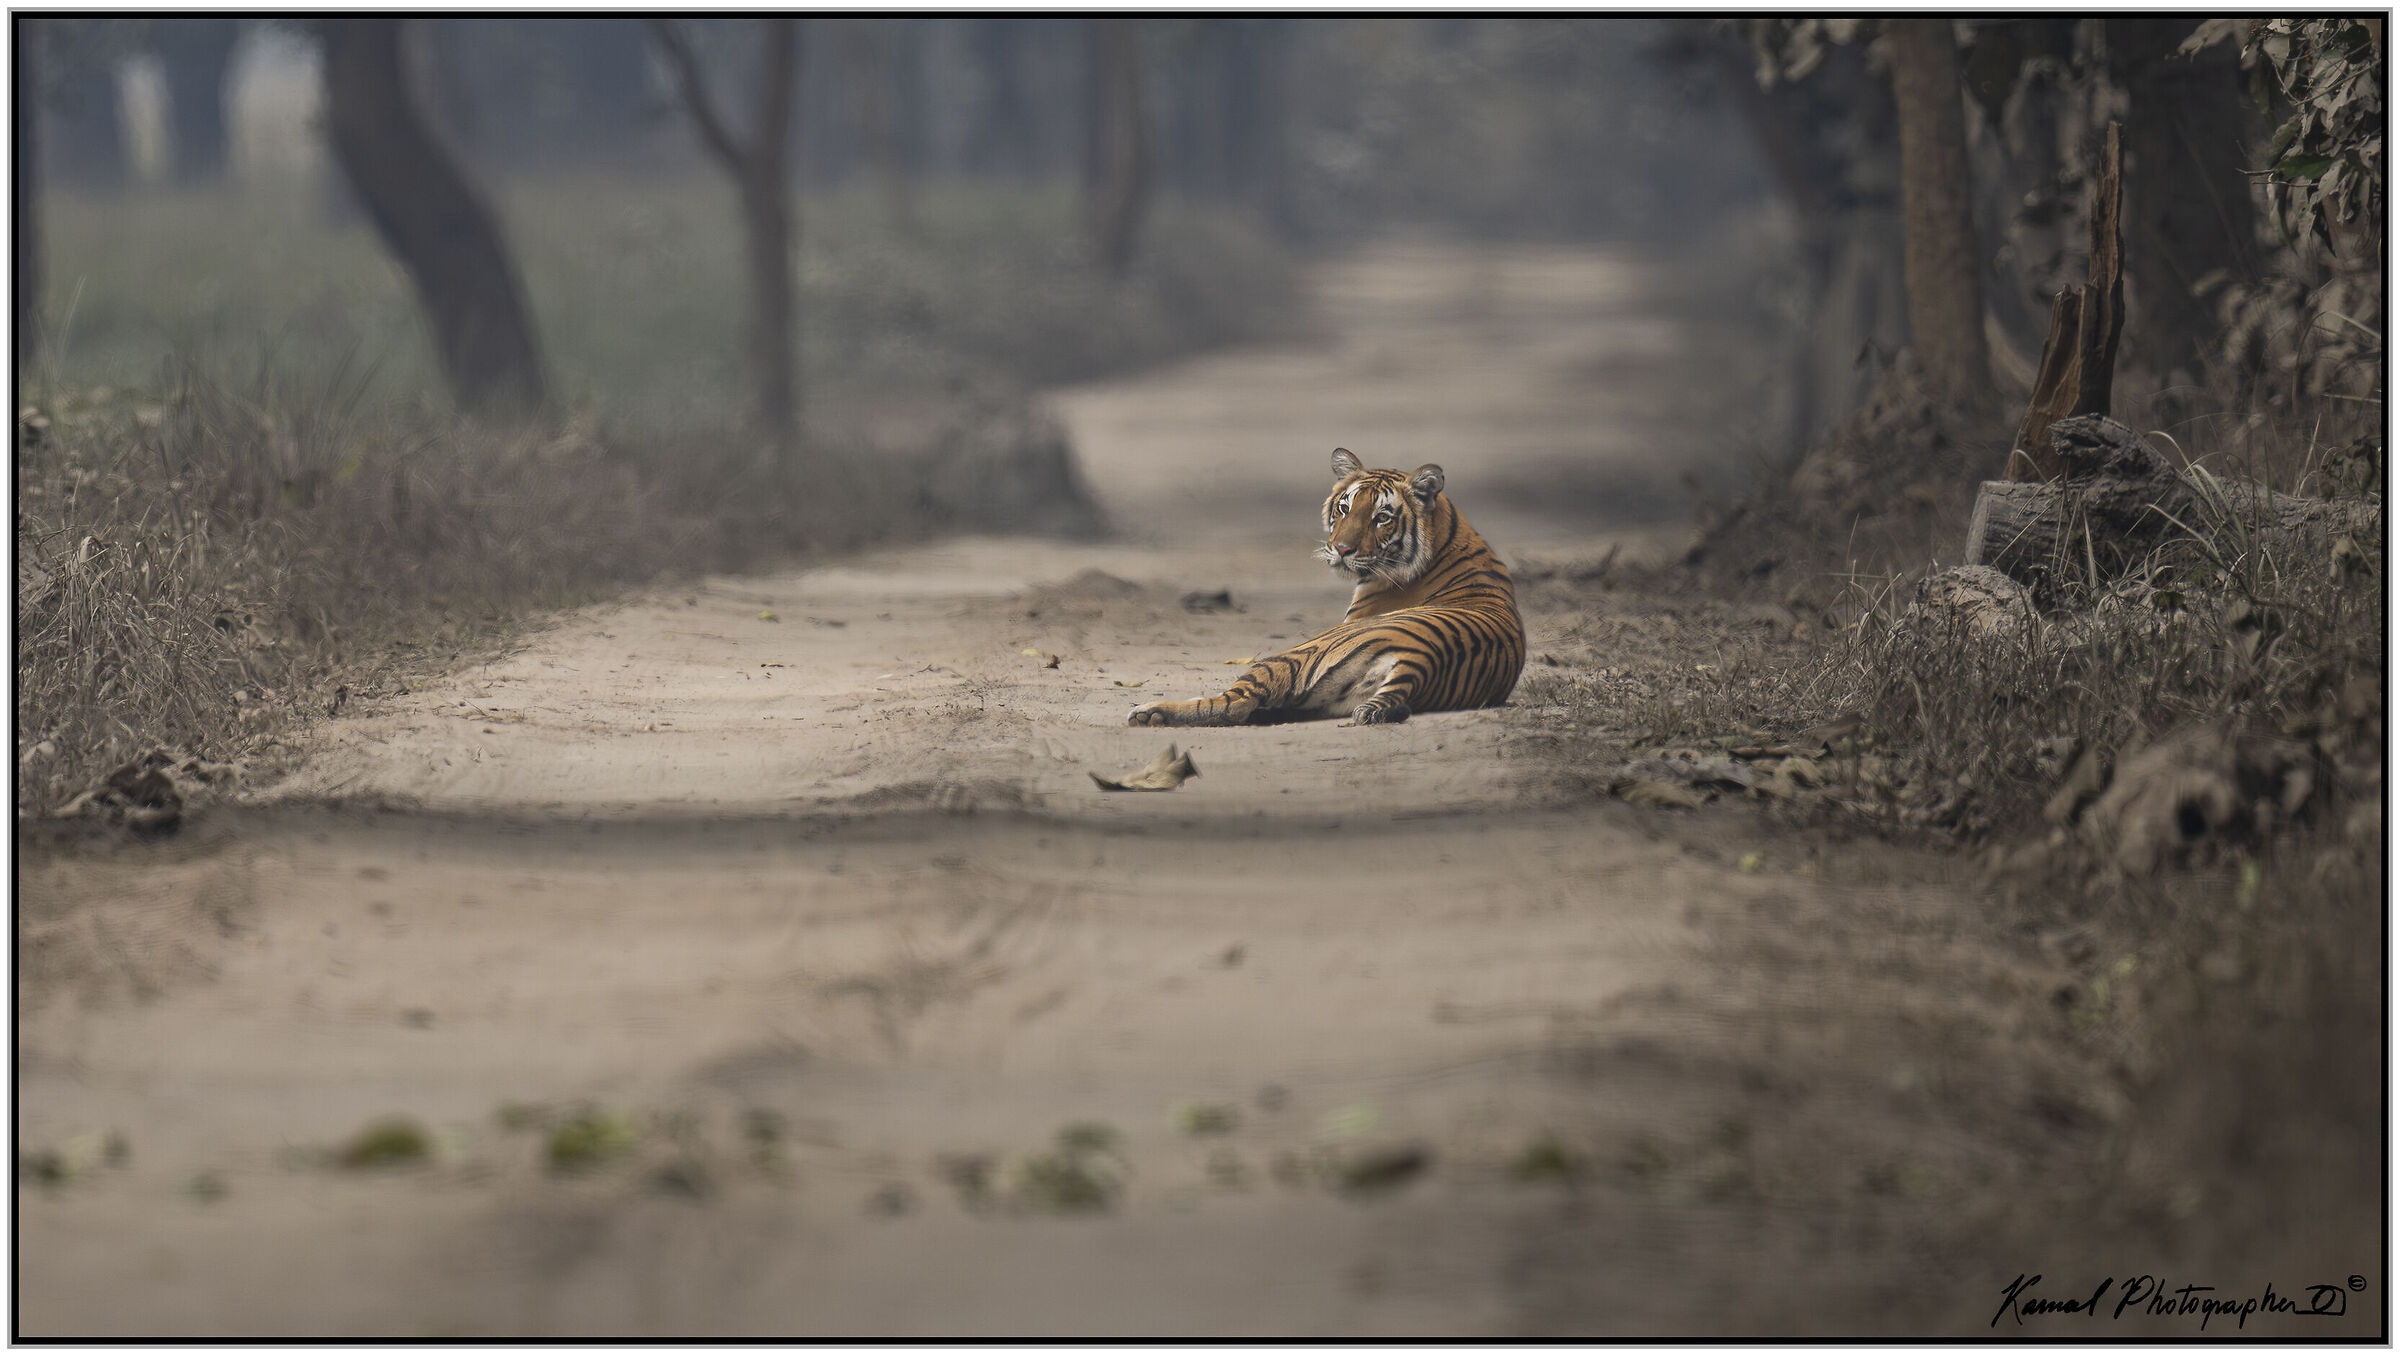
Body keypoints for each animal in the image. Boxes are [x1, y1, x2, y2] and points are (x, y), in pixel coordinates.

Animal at [1128, 448, 1525, 727]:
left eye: (1382, 517)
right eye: (1344, 508)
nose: (1341, 549)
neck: (1448, 535)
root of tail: (1423, 659)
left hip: (1290, 655)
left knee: (1234, 704)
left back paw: (1149, 712)